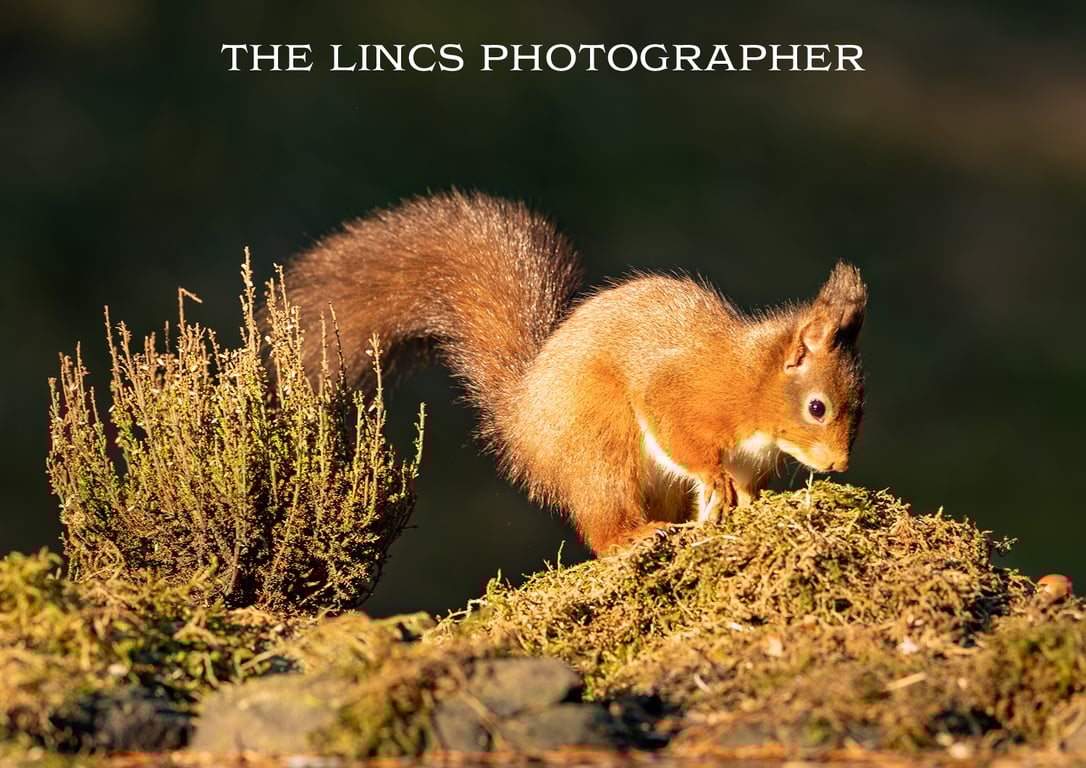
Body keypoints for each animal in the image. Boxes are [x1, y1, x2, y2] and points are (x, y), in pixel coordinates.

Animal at [281, 190, 867, 554]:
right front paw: (715, 480)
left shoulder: (753, 458)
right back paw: (633, 538)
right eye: (817, 407)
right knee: (603, 516)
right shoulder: (685, 390)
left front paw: (744, 507)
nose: (838, 465)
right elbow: (681, 432)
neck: (753, 382)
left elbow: (745, 489)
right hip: (598, 435)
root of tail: (523, 420)